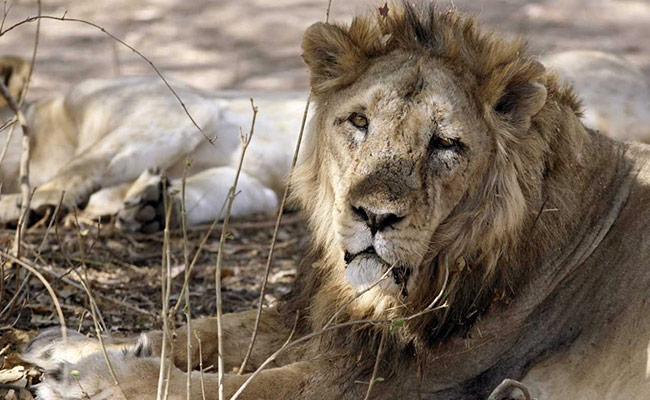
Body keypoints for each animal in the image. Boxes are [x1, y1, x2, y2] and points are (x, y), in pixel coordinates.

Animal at [18, 2, 650, 399]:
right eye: (359, 122)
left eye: (446, 144)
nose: (373, 217)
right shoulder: (317, 317)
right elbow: (205, 329)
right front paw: (73, 348)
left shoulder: (394, 381)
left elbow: (240, 385)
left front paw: (96, 379)